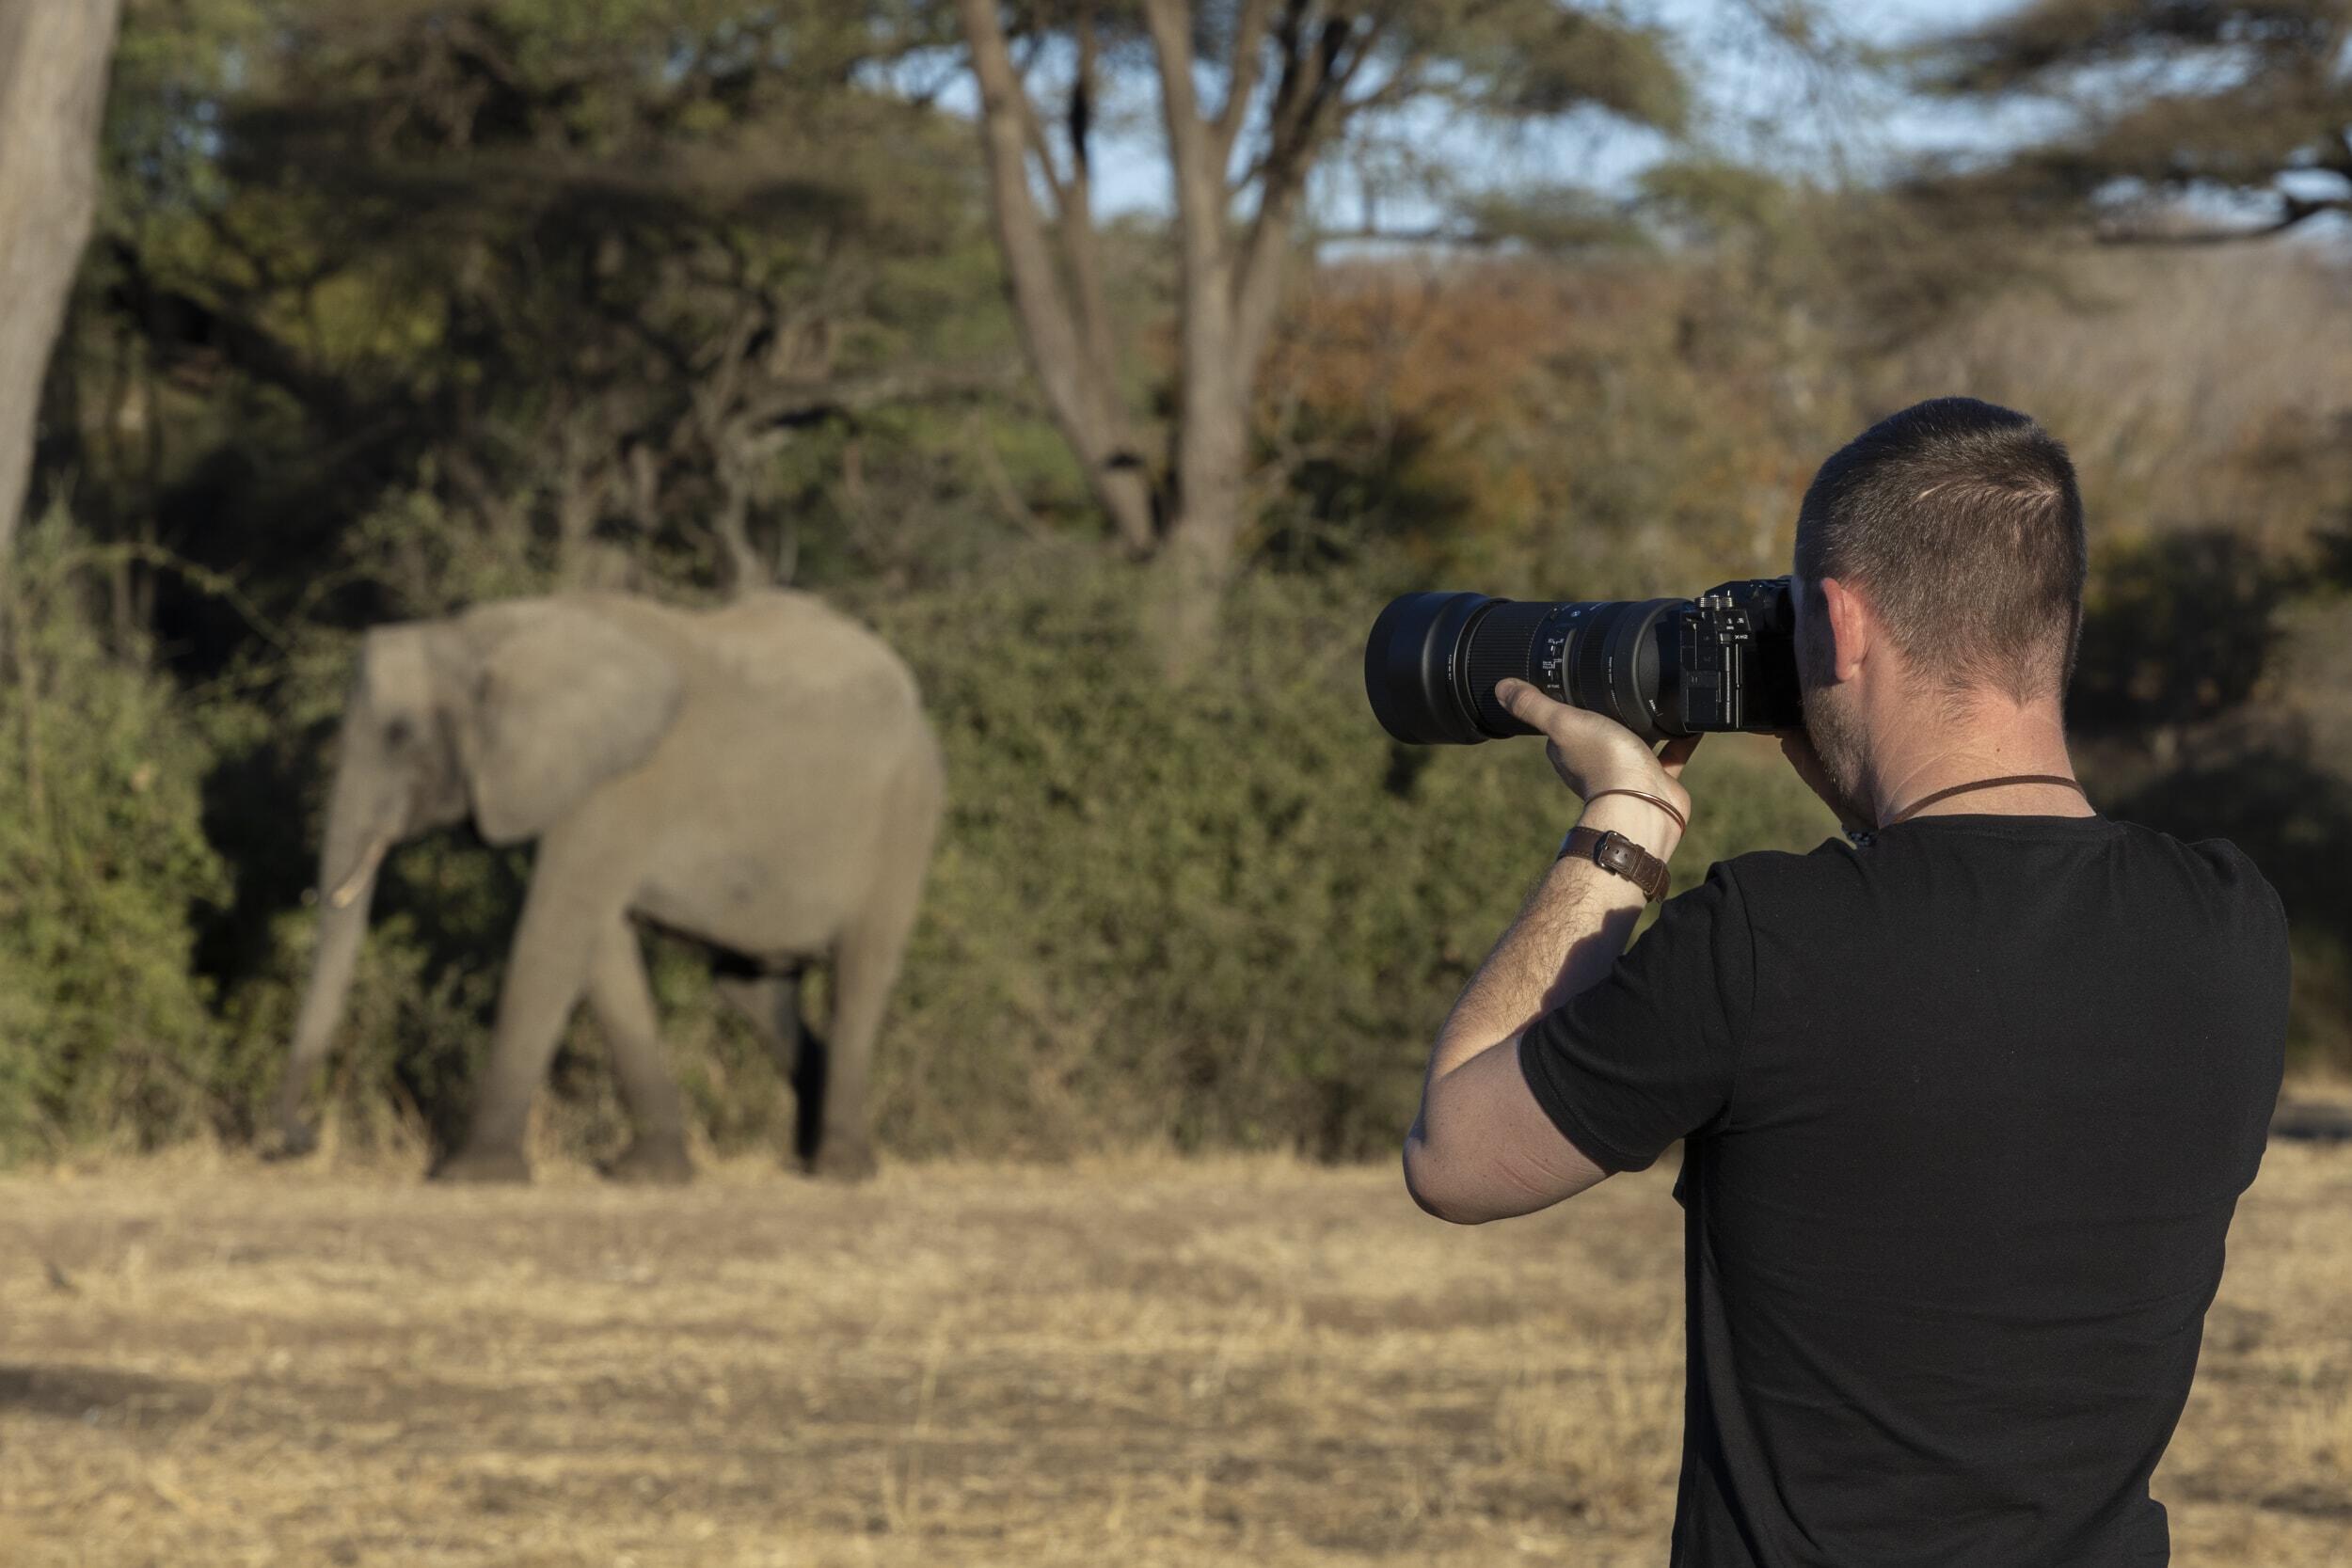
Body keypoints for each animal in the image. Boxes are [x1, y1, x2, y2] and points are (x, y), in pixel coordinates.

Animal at [273, 590, 944, 1183]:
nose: (294, 1139)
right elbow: (599, 947)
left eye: (400, 733)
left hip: (904, 815)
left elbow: (555, 931)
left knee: (859, 973)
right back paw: (804, 1156)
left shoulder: (620, 788)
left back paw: (840, 1171)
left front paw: (471, 1175)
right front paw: (649, 1175)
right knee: (752, 989)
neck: (482, 634)